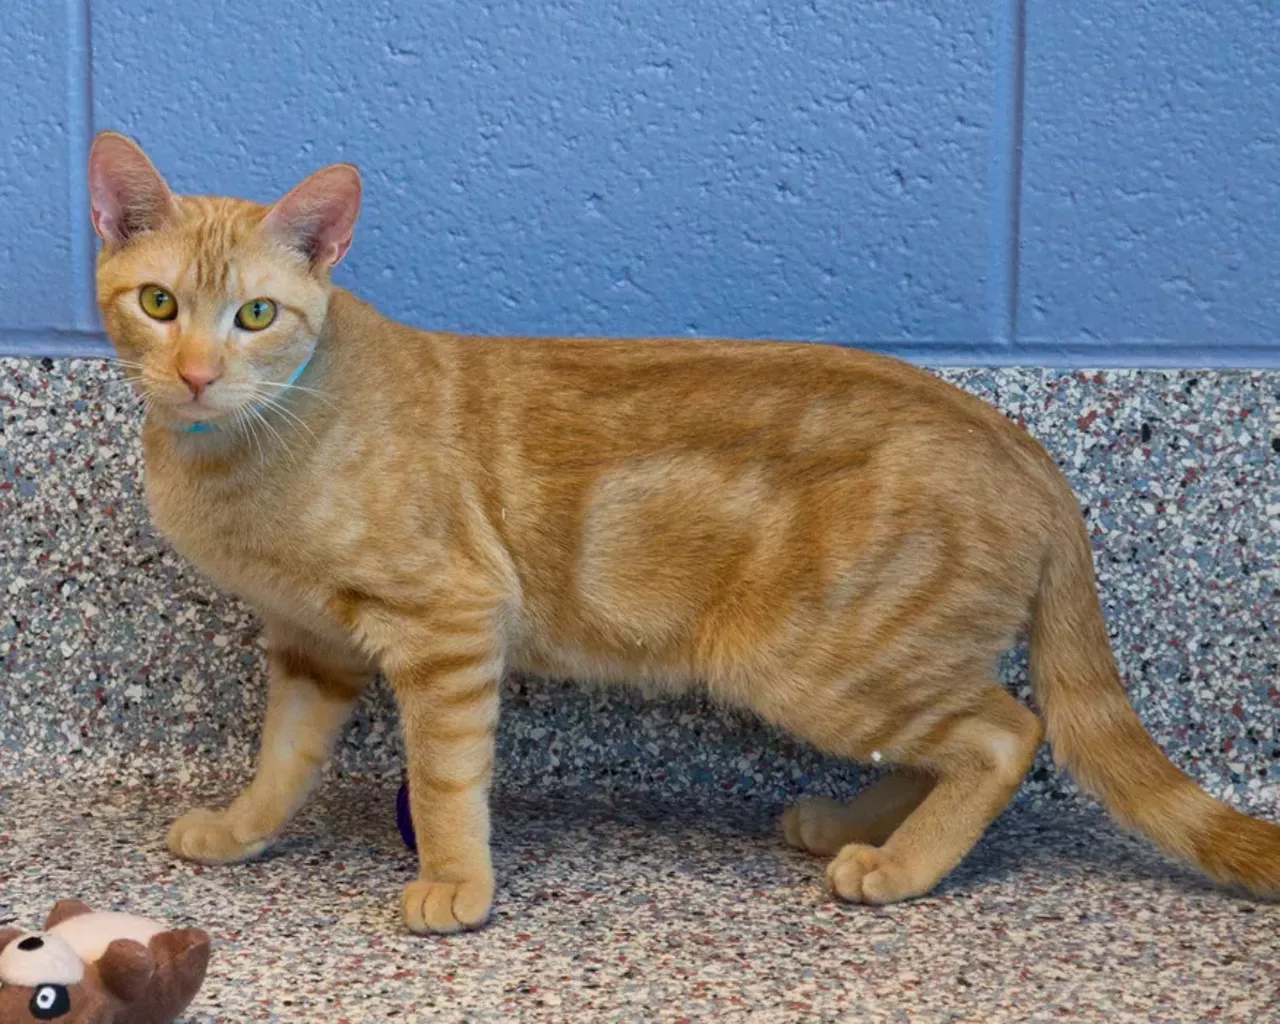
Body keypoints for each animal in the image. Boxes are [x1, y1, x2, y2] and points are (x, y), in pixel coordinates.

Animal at [90, 131, 1280, 931]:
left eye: (255, 315)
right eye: (158, 304)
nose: (194, 373)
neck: (239, 452)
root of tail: (1016, 435)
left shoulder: (449, 624)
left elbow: (443, 778)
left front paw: (453, 883)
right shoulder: (312, 645)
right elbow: (281, 757)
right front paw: (239, 829)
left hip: (816, 661)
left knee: (1004, 733)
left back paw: (899, 867)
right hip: (871, 668)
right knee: (953, 736)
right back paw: (860, 826)